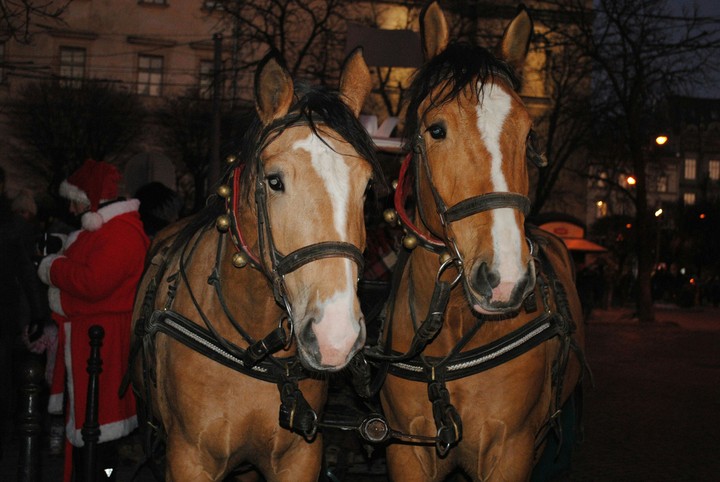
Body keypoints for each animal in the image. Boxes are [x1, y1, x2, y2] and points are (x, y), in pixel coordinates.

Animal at [129, 49, 383, 481]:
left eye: (367, 188)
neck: (254, 349)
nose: (336, 336)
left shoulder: (299, 457)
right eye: (275, 180)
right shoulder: (189, 459)